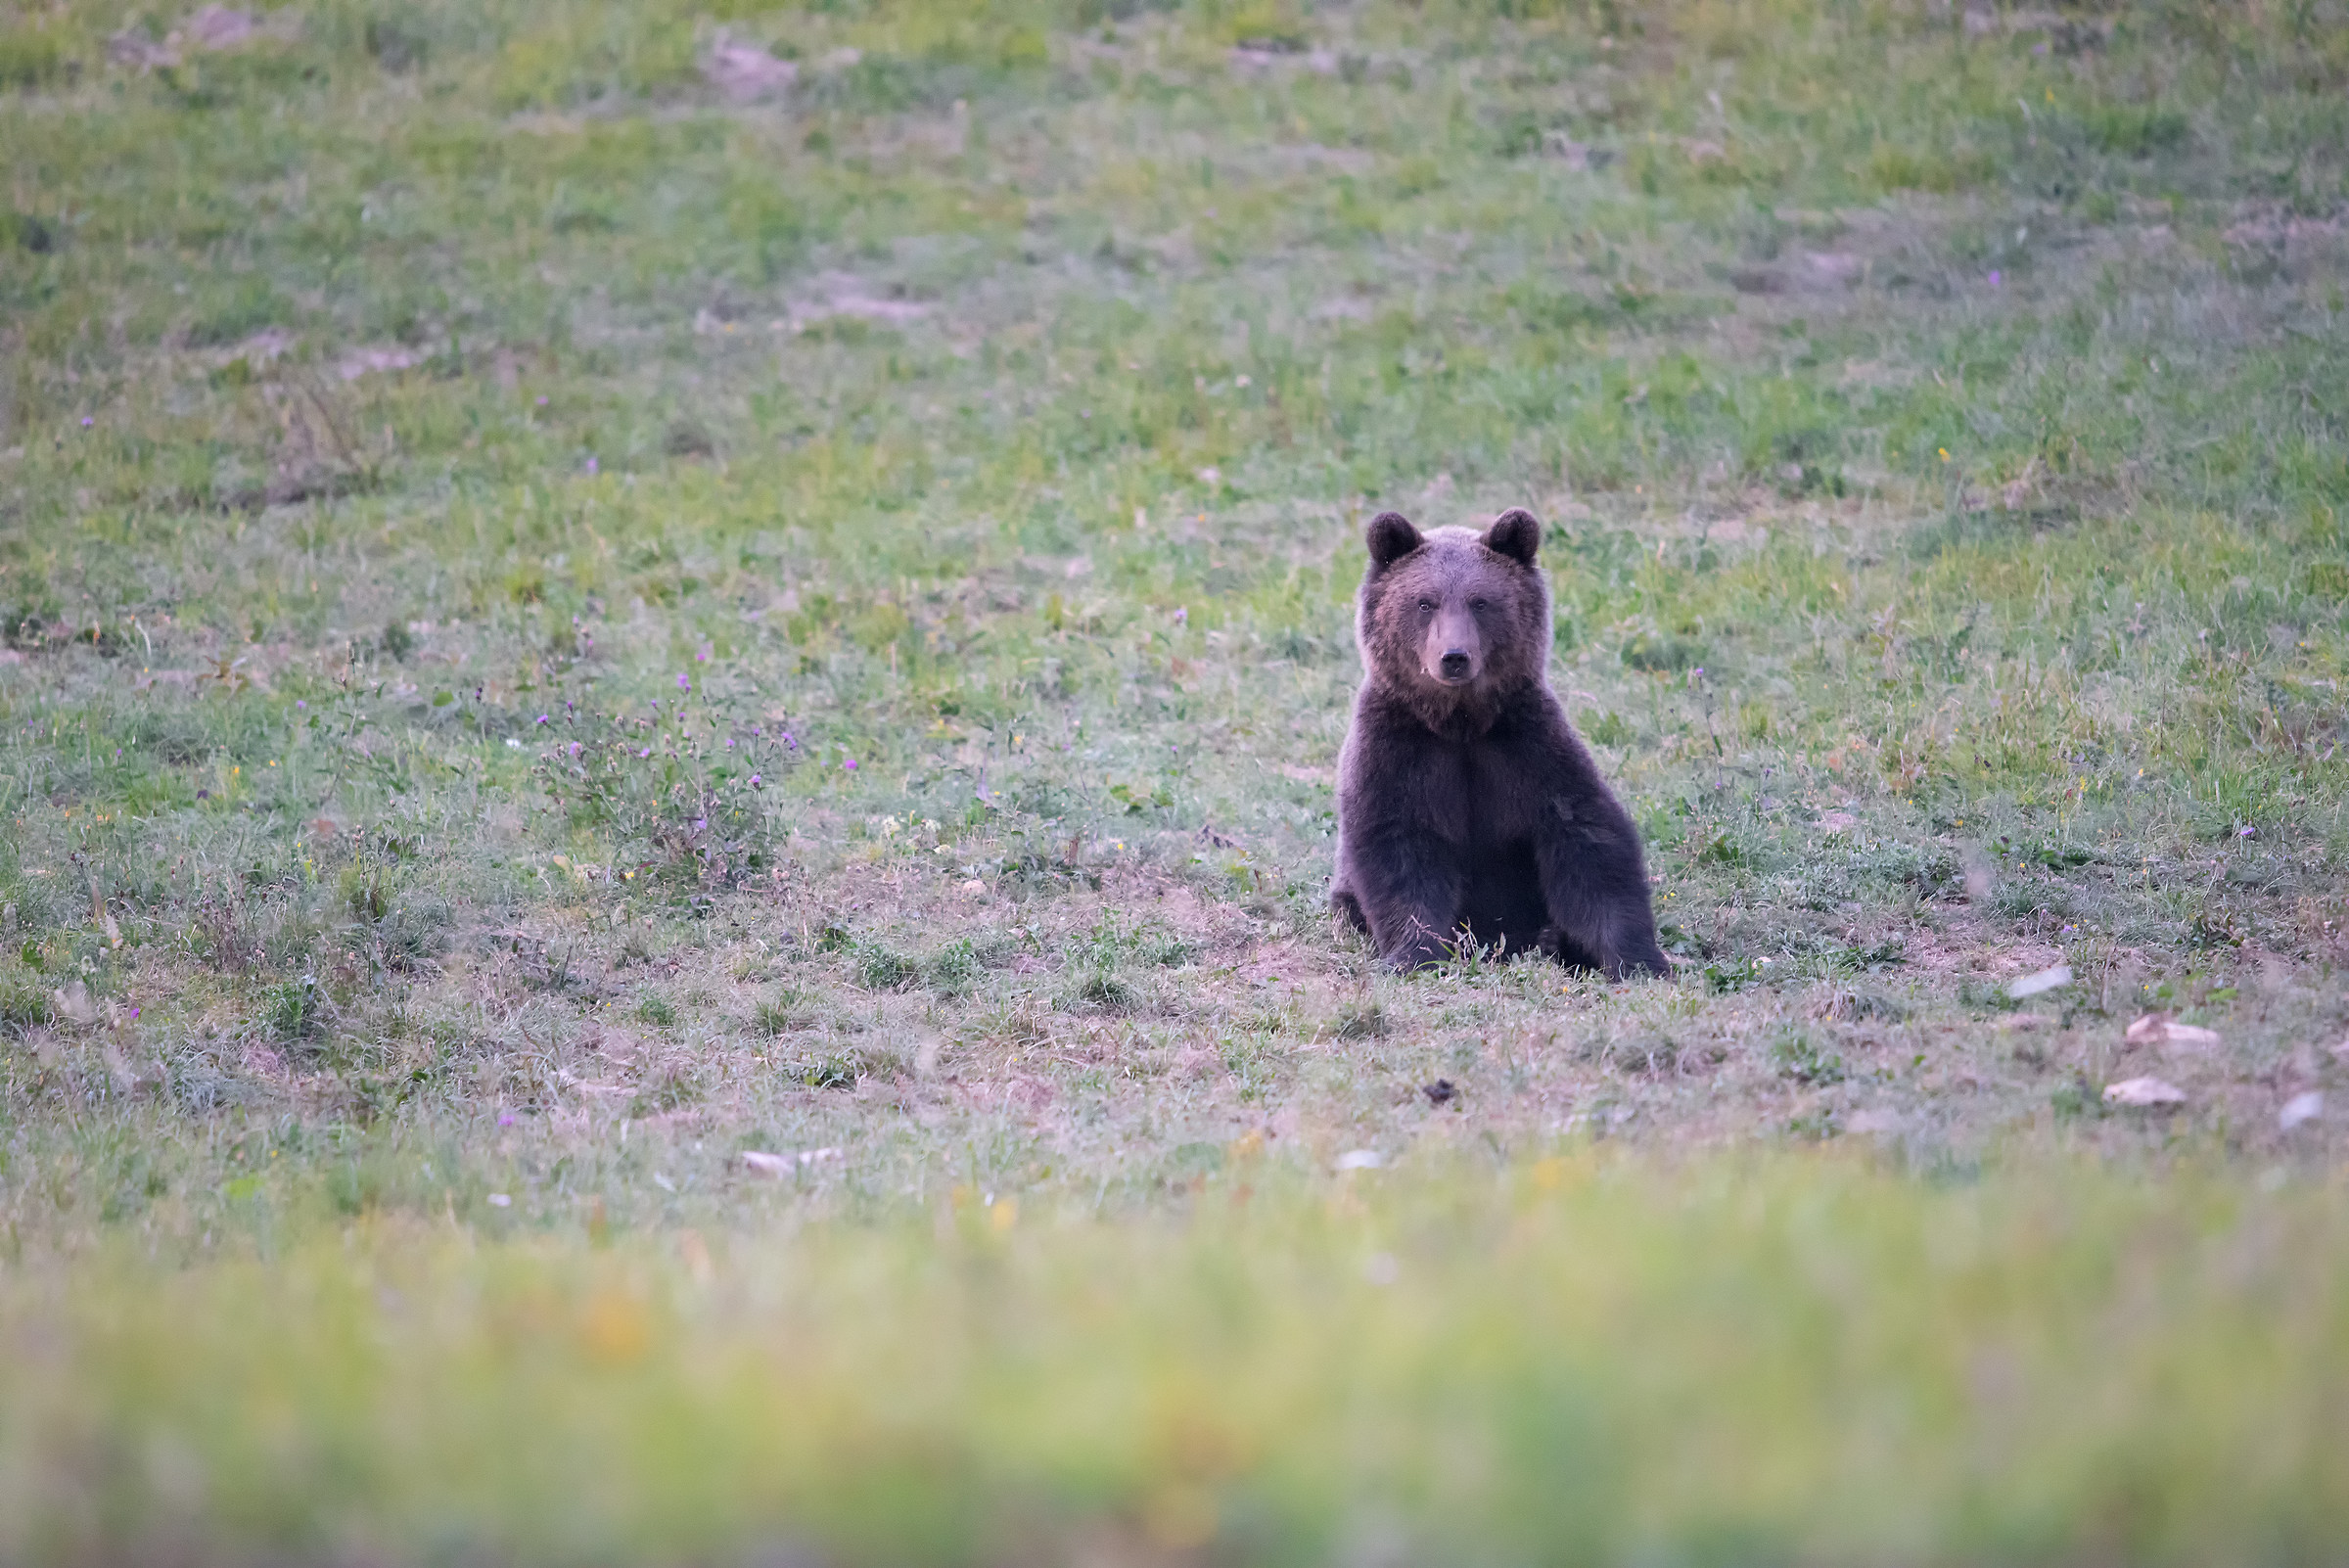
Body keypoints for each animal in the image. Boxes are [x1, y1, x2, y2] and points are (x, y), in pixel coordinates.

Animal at [1329, 507, 1672, 978]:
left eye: (1480, 601)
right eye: (1424, 602)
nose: (1454, 656)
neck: (1459, 723)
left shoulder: (1525, 745)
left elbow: (1587, 840)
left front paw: (1639, 959)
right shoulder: (1399, 748)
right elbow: (1397, 845)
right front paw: (1414, 953)